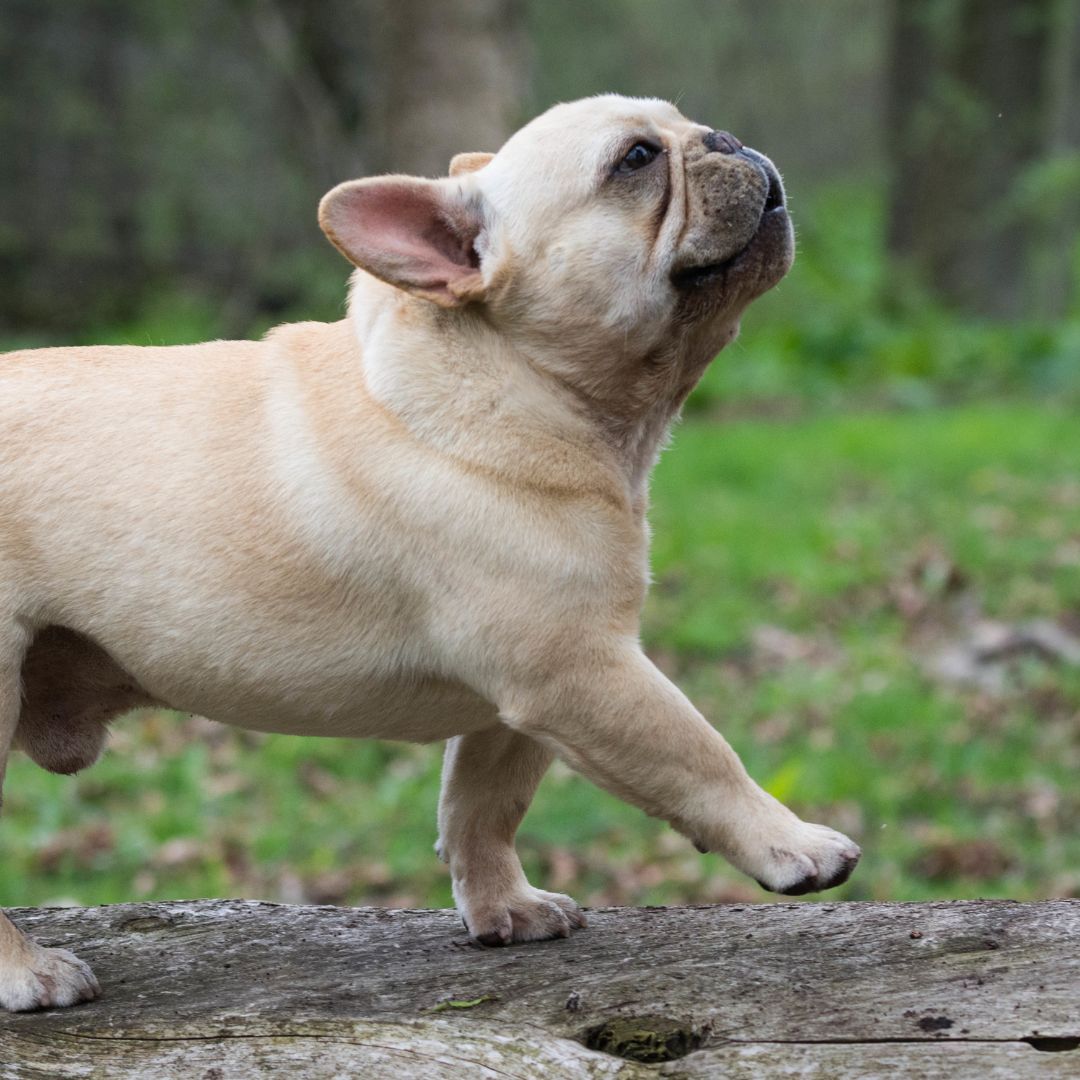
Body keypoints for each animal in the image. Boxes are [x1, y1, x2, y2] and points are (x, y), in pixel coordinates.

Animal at [0, 95, 859, 1010]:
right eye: (634, 160)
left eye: (683, 125)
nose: (724, 139)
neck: (522, 382)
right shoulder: (580, 670)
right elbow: (697, 755)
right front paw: (792, 844)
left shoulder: (520, 698)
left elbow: (481, 807)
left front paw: (504, 909)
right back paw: (28, 971)